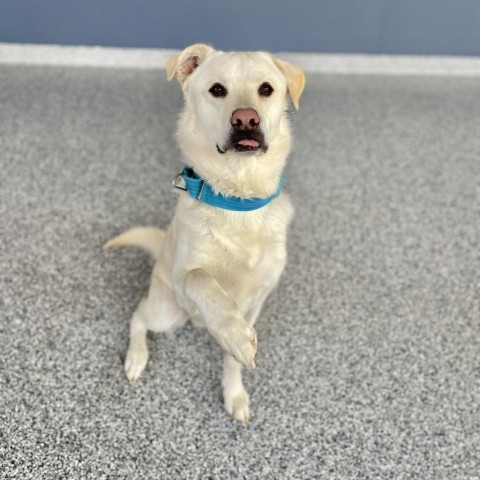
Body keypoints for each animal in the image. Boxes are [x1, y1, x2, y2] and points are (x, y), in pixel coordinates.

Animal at [107, 42, 306, 424]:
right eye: (217, 90)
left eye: (266, 89)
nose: (246, 119)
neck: (238, 201)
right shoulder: (185, 274)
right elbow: (203, 281)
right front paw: (234, 334)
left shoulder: (258, 300)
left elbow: (233, 362)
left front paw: (234, 393)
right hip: (165, 311)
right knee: (138, 315)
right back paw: (136, 358)